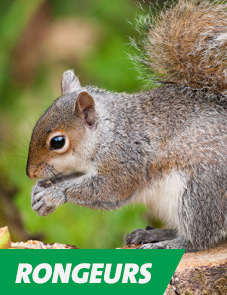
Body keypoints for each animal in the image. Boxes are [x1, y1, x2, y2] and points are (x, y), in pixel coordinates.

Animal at [26, 0, 225, 252]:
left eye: (58, 142)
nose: (30, 173)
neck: (108, 133)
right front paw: (41, 187)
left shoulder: (124, 160)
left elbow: (109, 189)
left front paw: (54, 194)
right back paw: (152, 233)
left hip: (200, 192)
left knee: (200, 237)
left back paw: (168, 244)